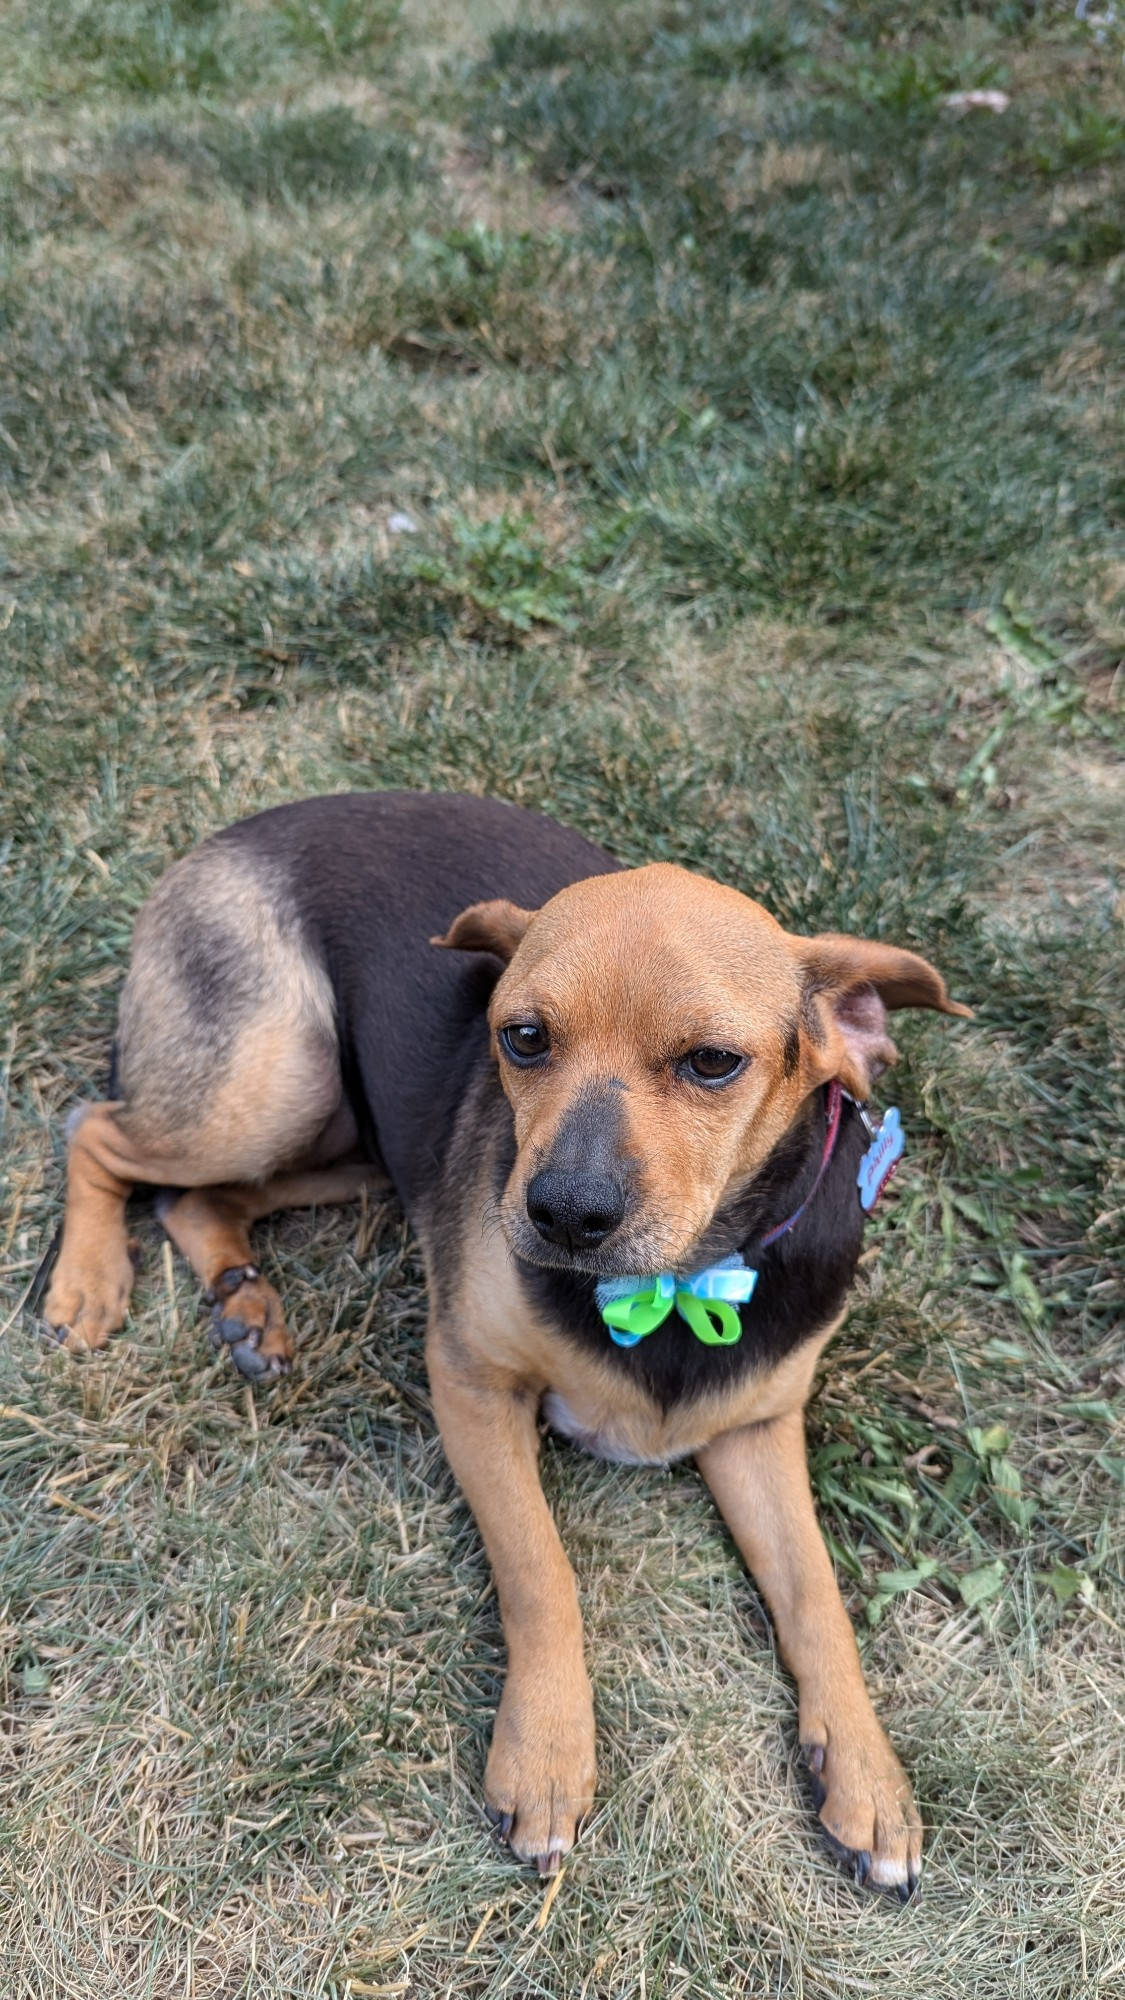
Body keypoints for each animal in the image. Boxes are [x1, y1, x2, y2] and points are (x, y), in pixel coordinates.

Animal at [41, 792, 964, 1888]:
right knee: (99, 1131)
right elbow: (540, 1572)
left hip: (345, 1134)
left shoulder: (757, 1426)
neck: (677, 1283)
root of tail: (238, 832)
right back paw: (87, 1278)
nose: (564, 1213)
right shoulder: (472, 1382)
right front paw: (548, 1754)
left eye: (713, 1062)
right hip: (272, 1079)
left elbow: (818, 1600)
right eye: (522, 1038)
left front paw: (867, 1774)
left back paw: (245, 1305)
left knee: (195, 1194)